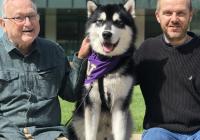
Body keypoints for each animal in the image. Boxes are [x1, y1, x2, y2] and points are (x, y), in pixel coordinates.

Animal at [68, 0, 136, 139]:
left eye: (118, 22)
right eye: (100, 21)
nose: (106, 34)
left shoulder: (120, 102)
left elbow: (120, 133)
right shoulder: (92, 101)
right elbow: (90, 134)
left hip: (129, 119)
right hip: (77, 120)